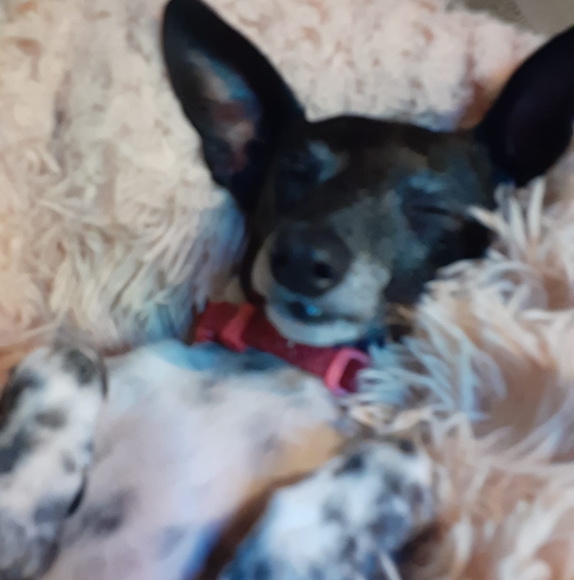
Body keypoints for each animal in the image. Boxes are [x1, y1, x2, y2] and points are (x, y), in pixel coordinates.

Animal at [0, 1, 572, 578]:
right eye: (294, 174)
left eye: (432, 207)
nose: (301, 258)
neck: (285, 363)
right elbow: (70, 354)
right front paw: (27, 504)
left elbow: (407, 454)